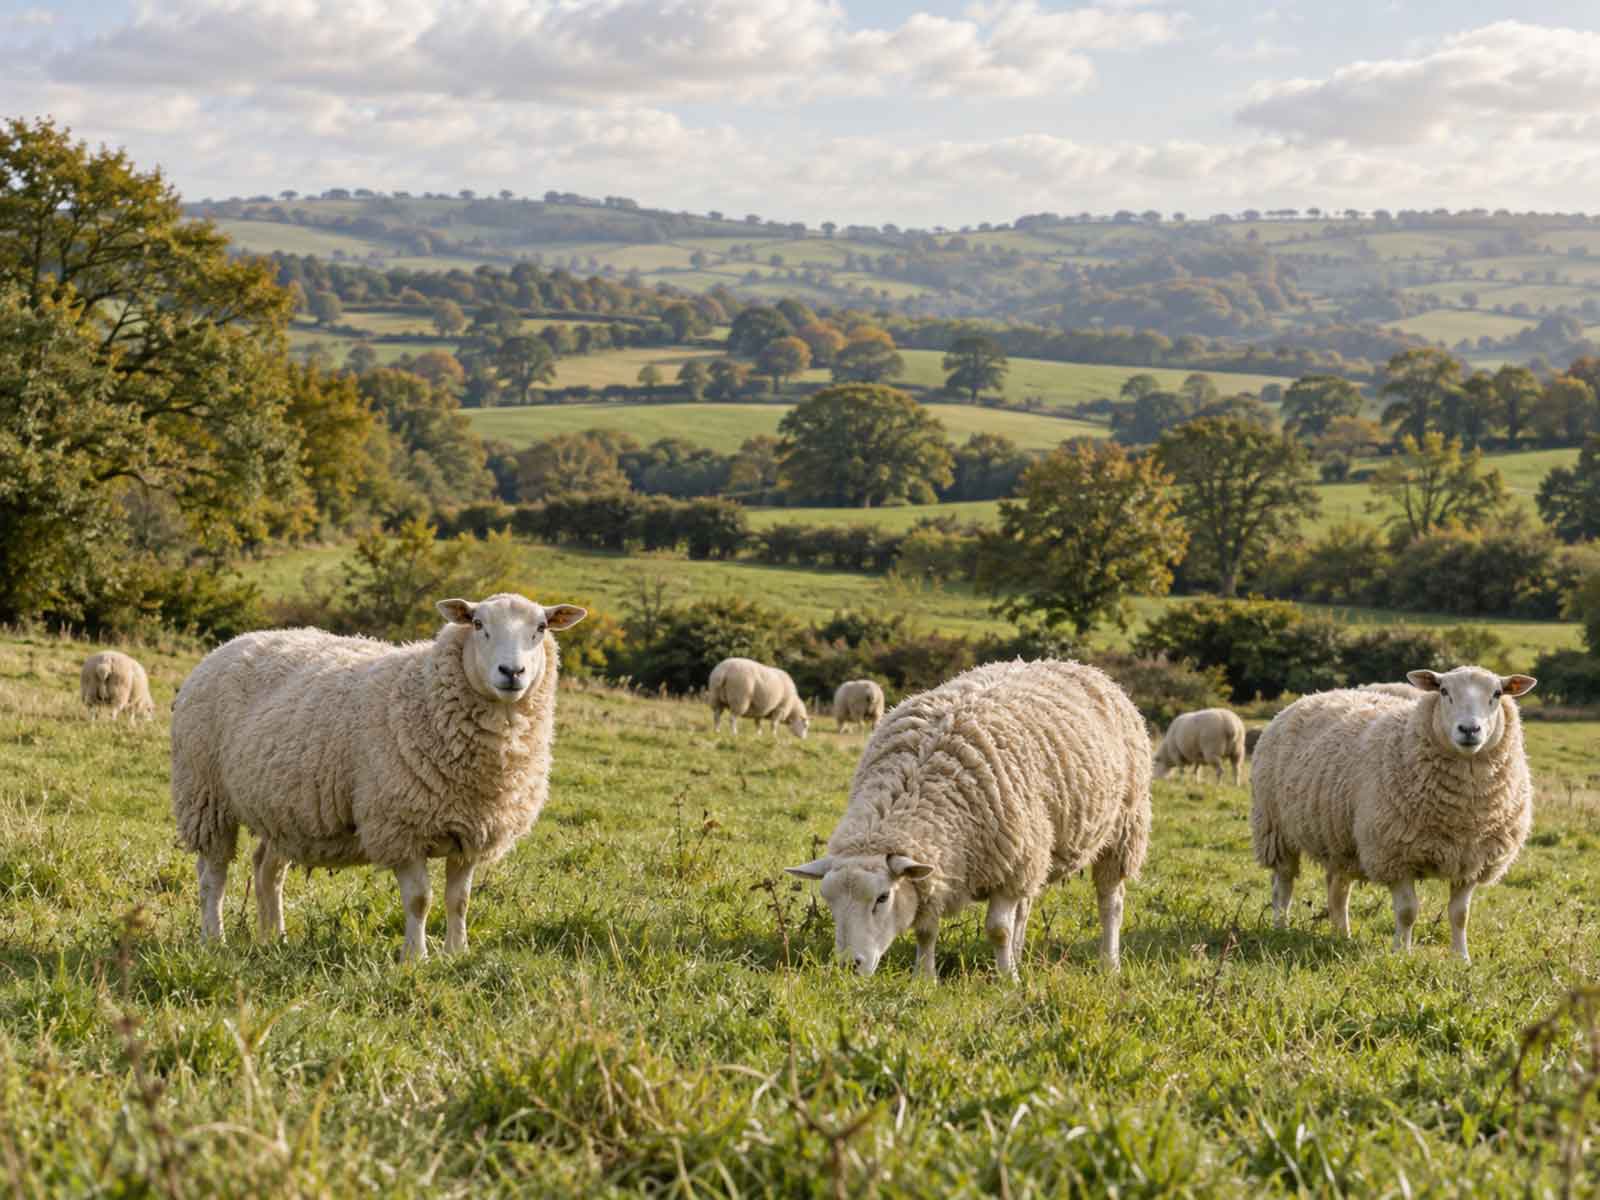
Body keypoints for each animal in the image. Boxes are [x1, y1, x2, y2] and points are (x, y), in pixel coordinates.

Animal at [171, 593, 586, 959]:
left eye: (541, 627)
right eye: (478, 624)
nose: (512, 672)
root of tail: (231, 643)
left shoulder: (472, 831)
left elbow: (460, 901)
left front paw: (457, 953)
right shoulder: (400, 828)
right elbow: (420, 900)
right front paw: (415, 957)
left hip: (284, 810)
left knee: (267, 871)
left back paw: (275, 938)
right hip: (205, 795)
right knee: (213, 876)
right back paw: (214, 939)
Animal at [786, 659, 1151, 979]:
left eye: (882, 898)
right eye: (829, 901)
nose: (850, 966)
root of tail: (1081, 666)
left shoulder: (1010, 863)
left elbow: (998, 930)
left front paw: (1008, 980)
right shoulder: (943, 867)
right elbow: (925, 929)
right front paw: (925, 978)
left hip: (1121, 830)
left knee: (1110, 903)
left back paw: (1109, 963)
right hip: (1037, 849)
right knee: (1025, 908)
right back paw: (1020, 955)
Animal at [1250, 665, 1537, 962]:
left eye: (1497, 693)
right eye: (1443, 691)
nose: (1469, 729)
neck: (1460, 815)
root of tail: (1312, 696)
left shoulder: (1471, 861)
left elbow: (1460, 915)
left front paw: (1462, 959)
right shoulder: (1394, 855)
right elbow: (1407, 912)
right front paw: (1401, 953)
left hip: (1341, 841)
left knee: (1338, 891)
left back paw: (1342, 935)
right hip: (1275, 829)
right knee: (1282, 885)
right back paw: (1281, 928)